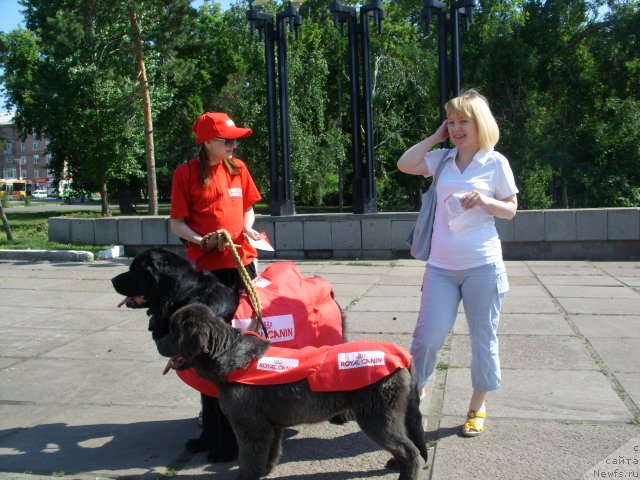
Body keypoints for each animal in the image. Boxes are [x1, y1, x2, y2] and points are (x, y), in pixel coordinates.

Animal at [162, 306, 428, 478]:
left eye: (174, 331)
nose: (158, 340)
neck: (230, 356)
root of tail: (401, 356)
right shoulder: (270, 426)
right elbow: (270, 453)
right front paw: (265, 472)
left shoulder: (250, 427)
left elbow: (249, 459)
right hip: (392, 414)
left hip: (377, 417)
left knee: (410, 451)